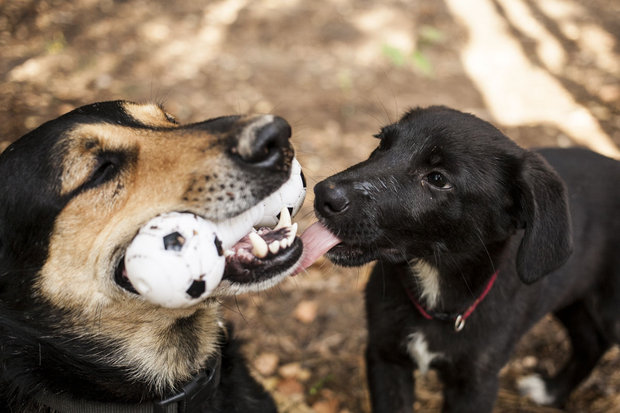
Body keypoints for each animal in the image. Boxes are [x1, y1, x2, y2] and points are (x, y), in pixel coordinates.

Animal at [314, 107, 620, 412]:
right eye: (381, 144)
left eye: (438, 179)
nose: (322, 193)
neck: (436, 299)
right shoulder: (384, 356)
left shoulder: (476, 384)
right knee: (591, 342)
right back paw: (553, 391)